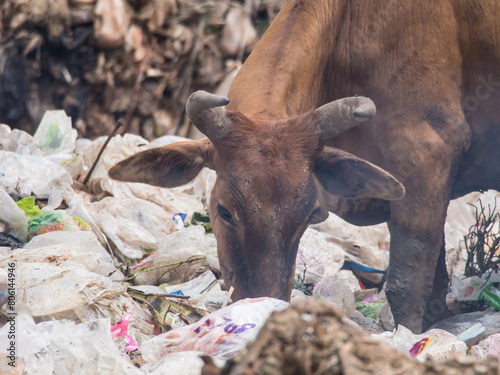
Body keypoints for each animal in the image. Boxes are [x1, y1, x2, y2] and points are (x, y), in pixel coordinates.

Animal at [110, 0, 500, 334]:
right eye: (223, 211)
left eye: (311, 215)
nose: (261, 308)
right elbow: (434, 285)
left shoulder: (426, 162)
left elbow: (407, 288)